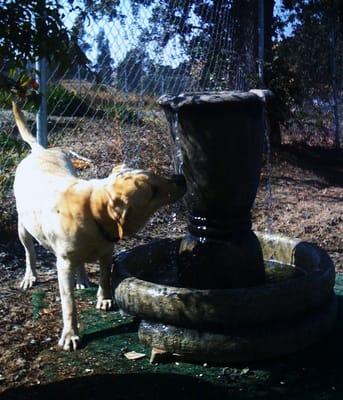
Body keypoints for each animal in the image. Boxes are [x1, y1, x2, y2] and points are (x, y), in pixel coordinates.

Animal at [12, 103, 187, 350]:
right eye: (153, 191)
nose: (181, 178)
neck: (92, 211)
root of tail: (38, 150)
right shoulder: (63, 265)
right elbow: (69, 305)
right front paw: (70, 334)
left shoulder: (107, 254)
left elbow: (104, 278)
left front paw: (103, 299)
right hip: (23, 229)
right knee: (29, 253)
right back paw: (30, 276)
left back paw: (83, 279)